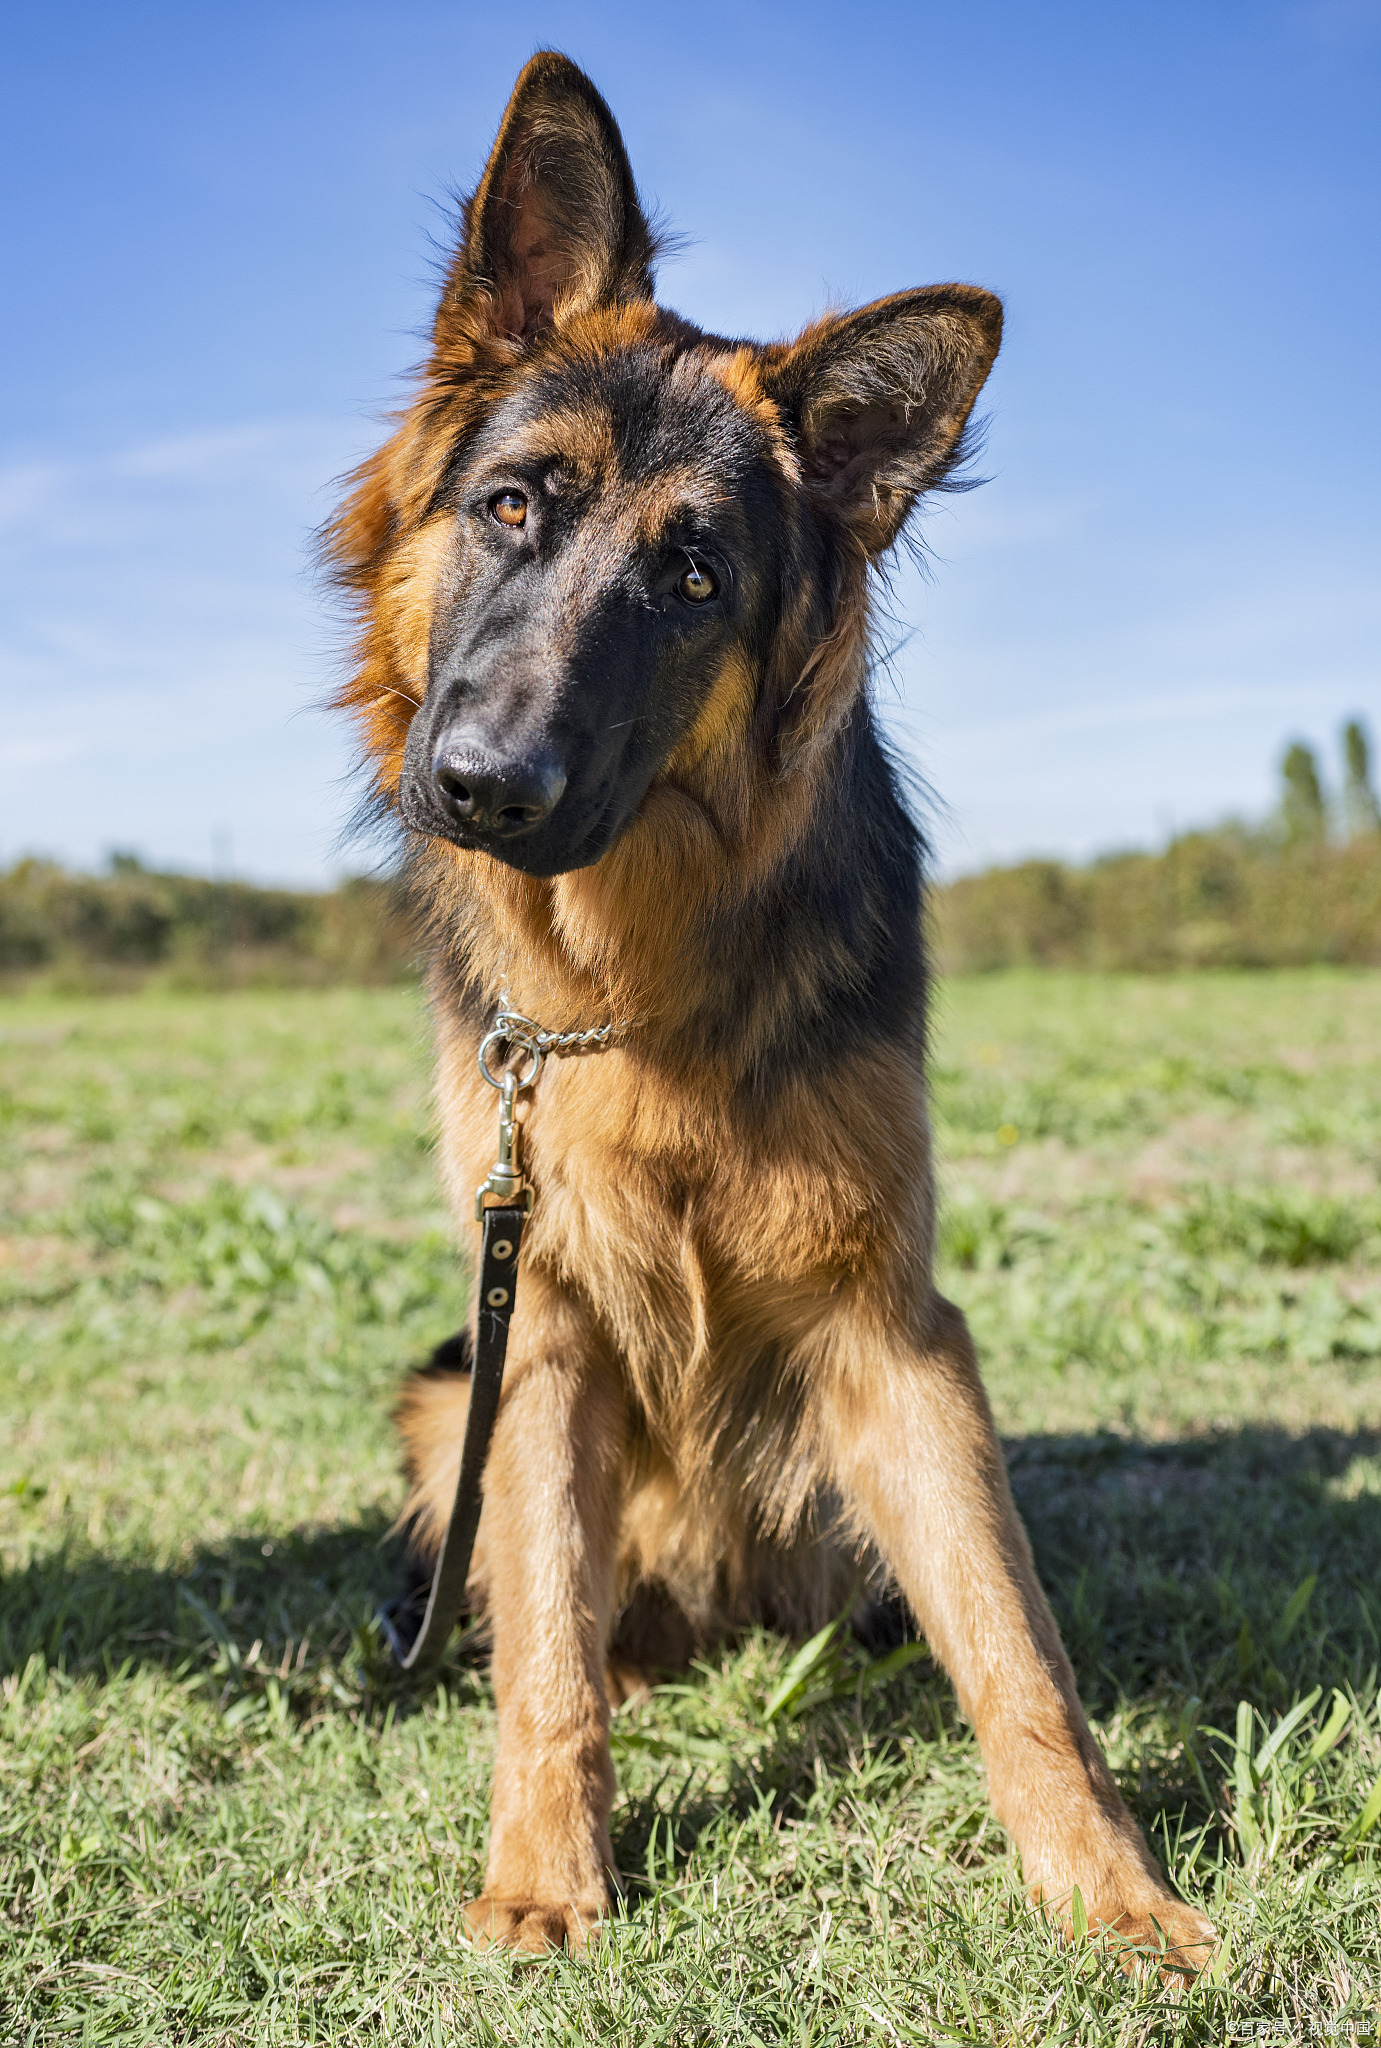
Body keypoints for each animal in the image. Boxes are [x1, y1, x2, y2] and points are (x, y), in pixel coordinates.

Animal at [325, 48, 1212, 1966]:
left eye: (695, 580)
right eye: (514, 506)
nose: (484, 786)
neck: (635, 987)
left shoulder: (896, 1336)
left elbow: (1017, 1654)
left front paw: (1108, 1888)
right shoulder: (542, 1322)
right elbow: (549, 1645)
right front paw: (544, 1872)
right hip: (449, 1395)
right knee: (563, 1612)